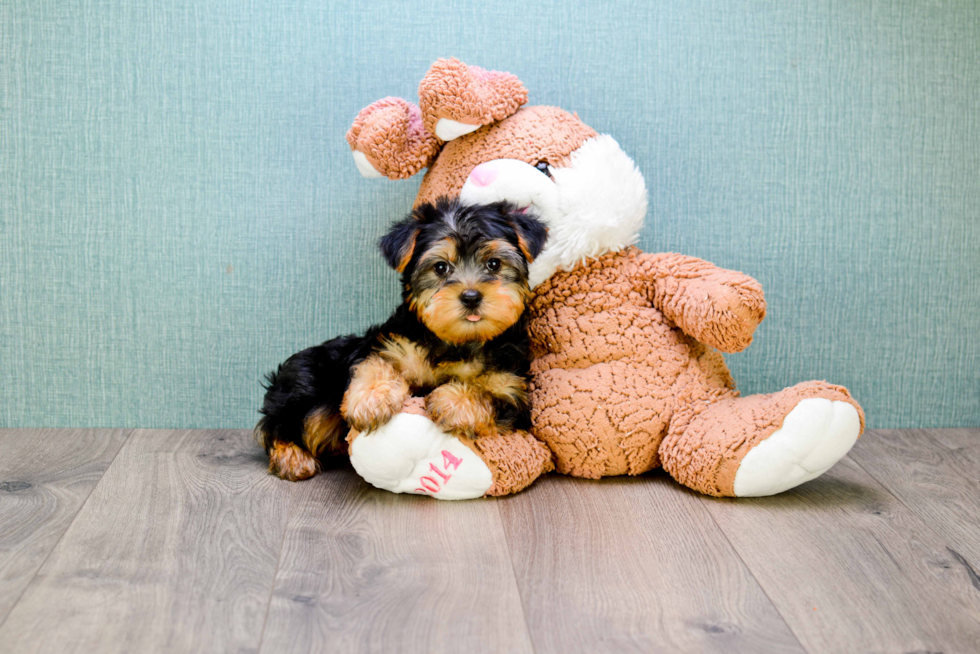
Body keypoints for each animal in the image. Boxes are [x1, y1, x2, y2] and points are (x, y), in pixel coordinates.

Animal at [256, 199, 548, 482]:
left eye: (494, 264)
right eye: (440, 267)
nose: (471, 296)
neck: (457, 342)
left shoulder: (512, 387)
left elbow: (490, 394)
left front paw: (452, 401)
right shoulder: (390, 344)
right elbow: (374, 363)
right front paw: (371, 398)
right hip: (308, 387)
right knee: (280, 424)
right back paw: (292, 457)